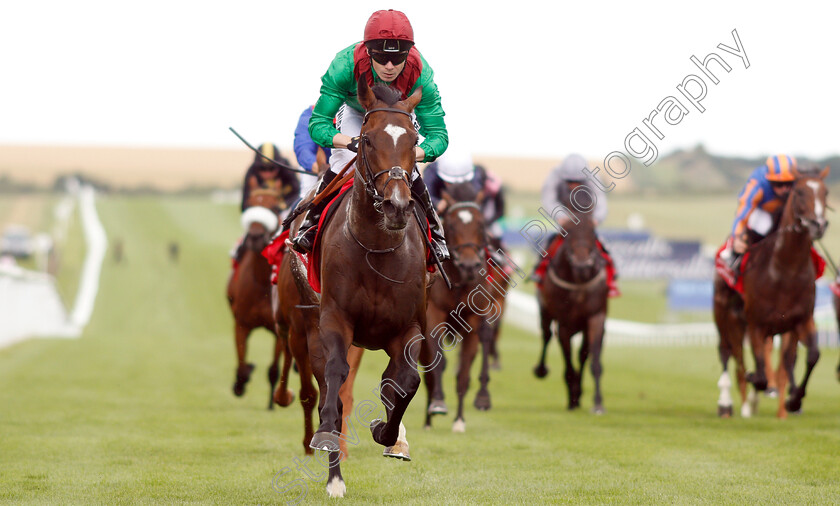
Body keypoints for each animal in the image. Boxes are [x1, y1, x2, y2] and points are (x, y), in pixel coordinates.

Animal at [226, 188, 296, 410]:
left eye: (275, 207)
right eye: (249, 203)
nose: (255, 237)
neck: (261, 282)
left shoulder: (279, 329)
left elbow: (274, 369)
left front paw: (272, 403)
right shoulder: (241, 323)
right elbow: (241, 364)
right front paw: (241, 382)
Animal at [306, 79, 430, 498]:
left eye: (414, 139)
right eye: (367, 140)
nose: (396, 205)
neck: (376, 248)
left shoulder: (409, 328)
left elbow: (406, 382)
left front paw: (387, 433)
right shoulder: (334, 319)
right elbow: (336, 376)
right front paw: (328, 440)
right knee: (331, 389)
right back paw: (334, 477)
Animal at [536, 208, 608, 414]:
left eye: (592, 232)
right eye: (567, 234)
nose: (582, 265)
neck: (579, 283)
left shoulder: (596, 317)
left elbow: (593, 361)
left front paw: (597, 402)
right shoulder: (564, 324)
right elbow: (568, 363)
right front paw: (572, 398)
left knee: (583, 354)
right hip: (545, 311)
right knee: (546, 335)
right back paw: (542, 370)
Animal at [712, 168, 832, 418]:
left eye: (825, 192)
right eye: (799, 192)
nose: (818, 224)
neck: (785, 271)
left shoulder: (801, 320)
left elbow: (810, 356)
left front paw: (794, 400)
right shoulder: (757, 324)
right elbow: (758, 374)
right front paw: (757, 392)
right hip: (724, 315)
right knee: (729, 355)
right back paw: (727, 403)